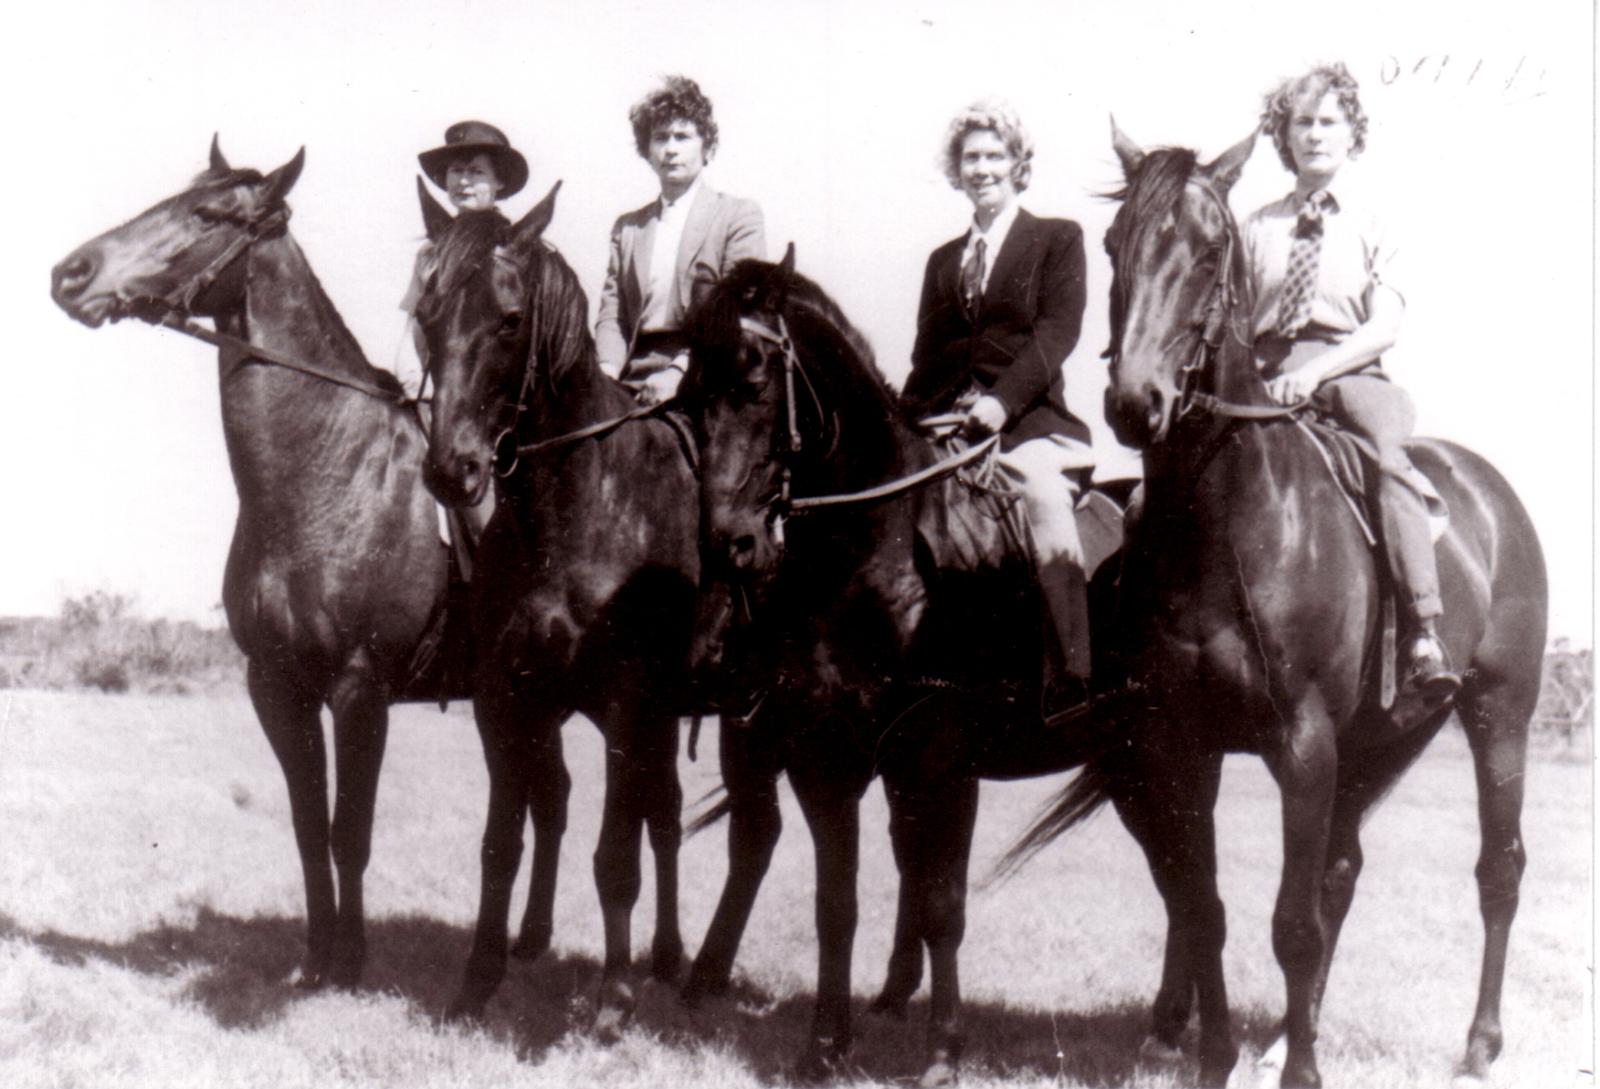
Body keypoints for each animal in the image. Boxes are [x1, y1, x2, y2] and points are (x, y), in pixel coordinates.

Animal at [46, 144, 579, 991]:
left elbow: (348, 830)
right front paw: (316, 957)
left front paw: (351, 962)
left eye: (207, 214)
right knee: (549, 793)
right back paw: (528, 943)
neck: (323, 475)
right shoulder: (276, 685)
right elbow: (305, 825)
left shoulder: (360, 688)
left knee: (546, 798)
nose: (73, 274)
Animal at [416, 182, 704, 1029]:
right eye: (427, 313)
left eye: (510, 319)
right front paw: (478, 978)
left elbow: (615, 857)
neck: (580, 505)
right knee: (648, 809)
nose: (452, 469)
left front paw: (612, 999)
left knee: (662, 819)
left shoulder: (630, 697)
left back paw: (666, 960)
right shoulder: (505, 697)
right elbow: (501, 842)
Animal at [678, 251, 1126, 1081]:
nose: (731, 544)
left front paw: (944, 1047)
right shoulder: (825, 757)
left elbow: (942, 901)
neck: (882, 554)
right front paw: (825, 1045)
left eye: (756, 375)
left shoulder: (938, 756)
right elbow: (839, 904)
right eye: (691, 391)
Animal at [1024, 123, 1548, 1081]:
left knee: (1499, 869)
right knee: (1342, 871)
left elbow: (1290, 923)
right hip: (1381, 738)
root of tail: (1490, 490)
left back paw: (1478, 1042)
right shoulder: (1181, 743)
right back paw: (1277, 1039)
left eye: (1209, 250)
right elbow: (1205, 910)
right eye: (1115, 247)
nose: (1136, 401)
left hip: (1500, 713)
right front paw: (1218, 1057)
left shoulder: (1302, 743)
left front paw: (1302, 1069)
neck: (1233, 524)